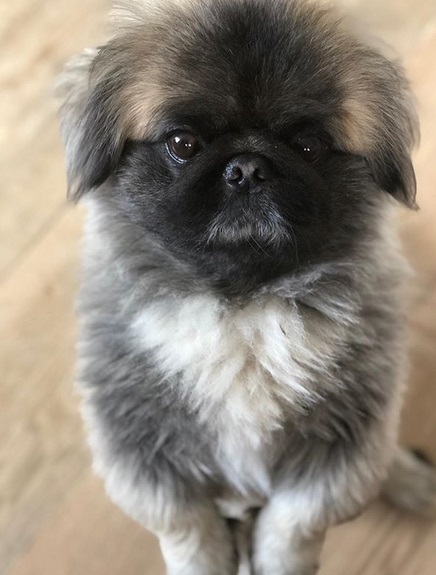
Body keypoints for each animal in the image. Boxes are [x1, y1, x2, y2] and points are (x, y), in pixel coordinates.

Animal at [58, 1, 436, 575]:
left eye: (309, 144)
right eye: (183, 144)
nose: (249, 166)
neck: (241, 308)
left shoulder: (342, 452)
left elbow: (293, 527)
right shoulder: (141, 456)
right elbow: (190, 532)